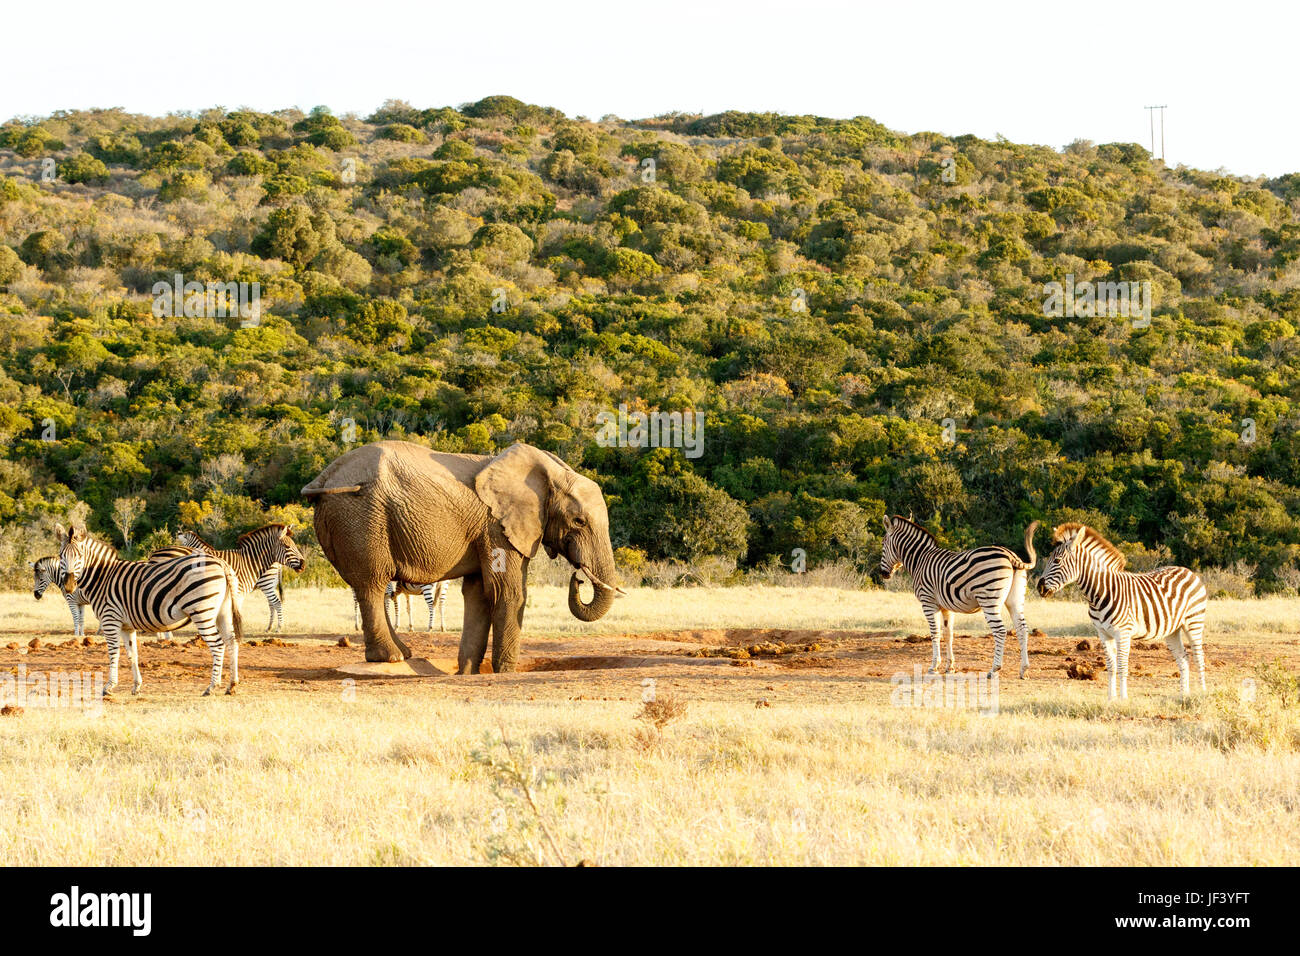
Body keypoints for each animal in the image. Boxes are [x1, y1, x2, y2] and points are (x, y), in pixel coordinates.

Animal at [56, 522, 244, 697]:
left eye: (80, 556)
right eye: (61, 556)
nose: (69, 586)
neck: (102, 577)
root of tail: (221, 563)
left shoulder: (110, 619)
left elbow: (113, 653)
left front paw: (109, 687)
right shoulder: (126, 626)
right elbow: (132, 654)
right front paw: (136, 686)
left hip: (202, 611)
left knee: (218, 645)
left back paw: (211, 687)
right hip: (222, 612)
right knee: (232, 641)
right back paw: (232, 685)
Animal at [301, 442, 616, 671]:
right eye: (579, 521)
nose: (578, 577)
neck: (549, 473)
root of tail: (324, 477)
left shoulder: (485, 532)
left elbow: (479, 594)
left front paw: (467, 671)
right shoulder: (496, 527)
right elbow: (507, 592)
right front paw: (504, 671)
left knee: (370, 587)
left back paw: (403, 653)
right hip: (361, 518)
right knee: (372, 584)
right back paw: (391, 658)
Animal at [878, 515, 1040, 681]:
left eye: (883, 544)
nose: (883, 574)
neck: (920, 560)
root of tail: (1010, 555)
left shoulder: (928, 602)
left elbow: (935, 633)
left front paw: (934, 667)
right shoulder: (946, 607)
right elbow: (948, 634)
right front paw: (950, 667)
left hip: (989, 600)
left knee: (1000, 631)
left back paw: (994, 669)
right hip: (1015, 600)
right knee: (1022, 629)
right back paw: (1024, 670)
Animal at [1034, 528, 1206, 697]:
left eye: (1057, 561)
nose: (1039, 588)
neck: (1100, 594)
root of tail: (1188, 571)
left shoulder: (1123, 632)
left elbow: (1122, 666)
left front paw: (1123, 699)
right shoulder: (1103, 634)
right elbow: (1111, 666)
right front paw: (1111, 698)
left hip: (1194, 622)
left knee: (1199, 657)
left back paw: (1202, 693)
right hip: (1172, 630)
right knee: (1183, 658)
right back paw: (1184, 695)